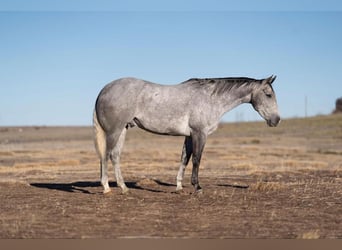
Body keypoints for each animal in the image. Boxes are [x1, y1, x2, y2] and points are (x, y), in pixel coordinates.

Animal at [93, 75, 280, 194]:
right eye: (268, 94)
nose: (276, 120)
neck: (211, 99)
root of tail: (104, 90)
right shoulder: (200, 133)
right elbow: (197, 159)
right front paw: (197, 187)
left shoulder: (189, 136)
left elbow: (185, 158)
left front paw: (179, 186)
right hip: (114, 131)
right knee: (106, 155)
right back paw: (106, 188)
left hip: (123, 130)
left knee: (115, 156)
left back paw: (124, 188)